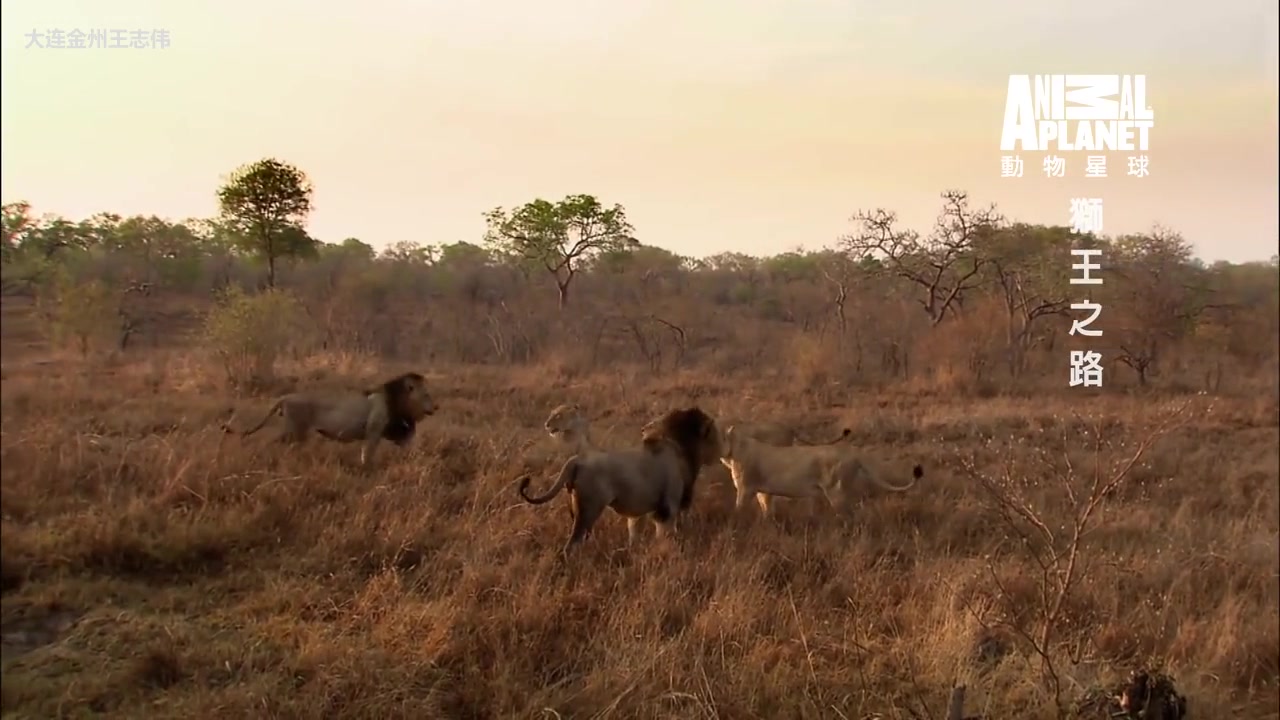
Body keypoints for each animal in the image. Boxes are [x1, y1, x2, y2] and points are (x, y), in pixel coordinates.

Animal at [220, 366, 435, 468]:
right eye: (426, 395)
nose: (437, 406)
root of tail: (285, 397)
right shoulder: (374, 430)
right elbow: (367, 454)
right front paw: (366, 468)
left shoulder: (395, 431)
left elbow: (407, 446)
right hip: (295, 430)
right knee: (270, 443)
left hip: (295, 432)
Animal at [517, 407, 721, 550]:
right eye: (713, 433)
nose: (720, 451)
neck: (679, 447)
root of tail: (577, 460)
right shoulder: (667, 507)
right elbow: (666, 534)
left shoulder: (639, 513)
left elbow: (634, 532)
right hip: (589, 510)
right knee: (572, 544)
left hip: (575, 507)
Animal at [721, 422, 921, 517]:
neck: (734, 449)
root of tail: (854, 452)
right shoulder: (763, 491)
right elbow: (767, 509)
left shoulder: (746, 488)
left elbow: (739, 509)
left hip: (836, 491)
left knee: (851, 517)